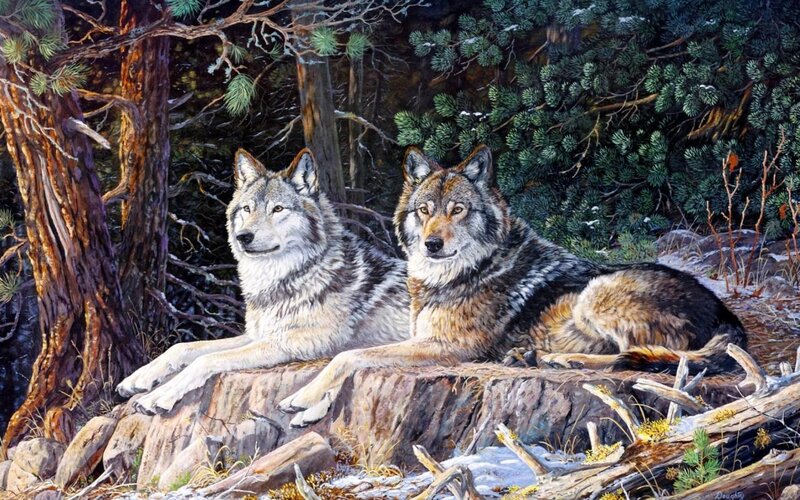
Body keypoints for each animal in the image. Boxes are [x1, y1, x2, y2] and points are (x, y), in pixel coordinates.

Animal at [118, 148, 410, 414]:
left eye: (278, 209)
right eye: (247, 209)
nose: (243, 237)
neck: (287, 276)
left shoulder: (293, 341)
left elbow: (206, 359)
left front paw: (160, 395)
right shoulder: (256, 334)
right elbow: (182, 348)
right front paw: (137, 378)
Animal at [278, 144, 747, 427]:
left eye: (458, 210)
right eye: (425, 210)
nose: (432, 244)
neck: (464, 272)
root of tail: (728, 315)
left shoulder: (447, 348)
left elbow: (350, 356)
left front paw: (303, 397)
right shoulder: (419, 340)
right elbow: (354, 360)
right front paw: (308, 412)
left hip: (596, 294)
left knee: (639, 357)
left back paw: (557, 360)